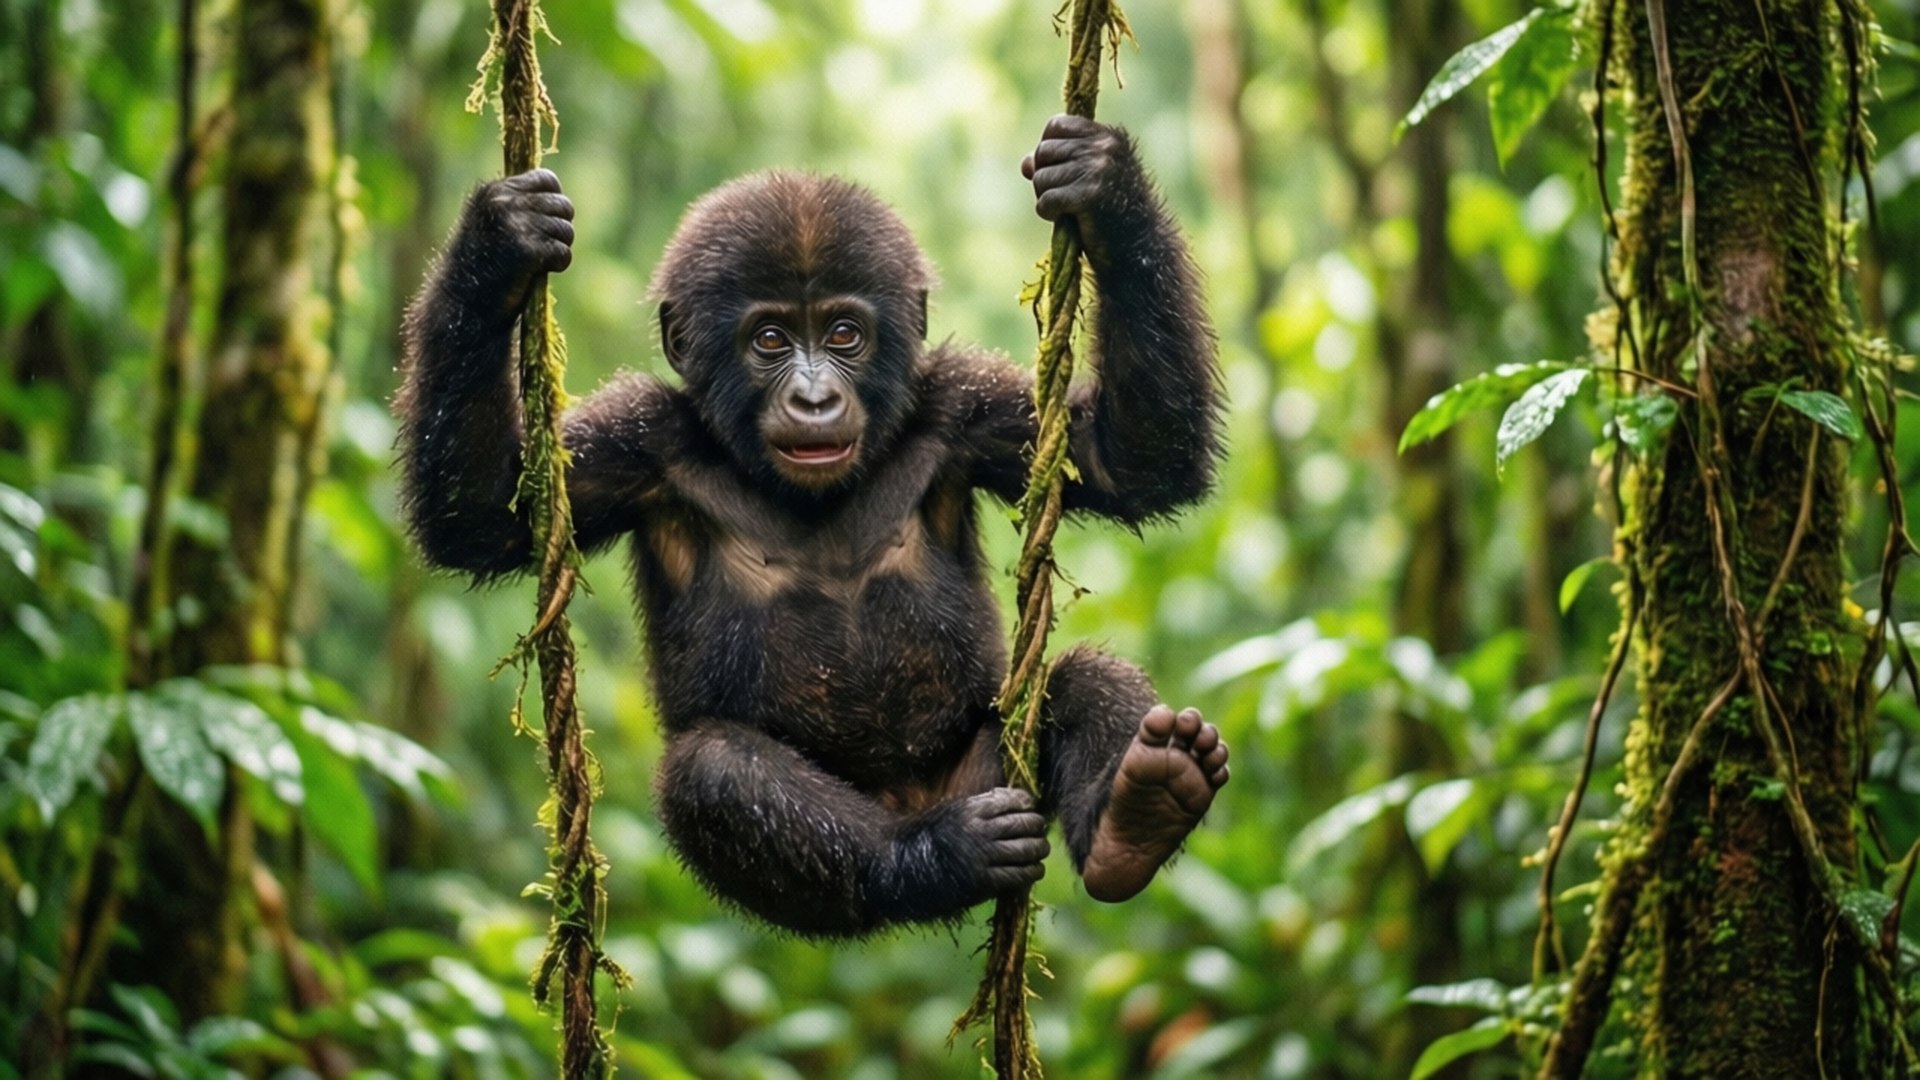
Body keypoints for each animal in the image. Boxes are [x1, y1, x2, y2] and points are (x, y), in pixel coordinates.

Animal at [396, 115, 1228, 936]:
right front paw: (502, 239)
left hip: (988, 771)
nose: (815, 398)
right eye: (769, 340)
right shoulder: (636, 441)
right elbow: (489, 514)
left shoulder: (964, 407)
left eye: (843, 335)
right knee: (719, 774)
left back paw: (1141, 812)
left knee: (1082, 679)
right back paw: (932, 857)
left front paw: (1098, 179)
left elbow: (1119, 457)